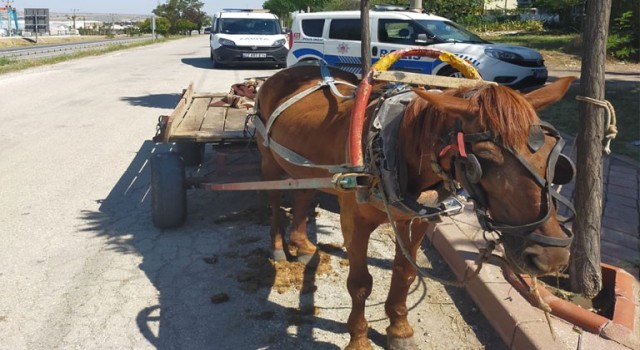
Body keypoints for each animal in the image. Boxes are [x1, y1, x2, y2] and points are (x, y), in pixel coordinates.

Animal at [252, 63, 572, 350]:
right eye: (484, 158)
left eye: (550, 153)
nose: (551, 257)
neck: (387, 146)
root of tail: (286, 72)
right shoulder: (353, 221)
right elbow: (360, 283)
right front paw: (359, 339)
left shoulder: (417, 219)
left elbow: (405, 273)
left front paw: (399, 329)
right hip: (268, 159)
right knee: (274, 199)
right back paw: (279, 245)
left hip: (304, 167)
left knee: (303, 194)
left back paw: (303, 245)